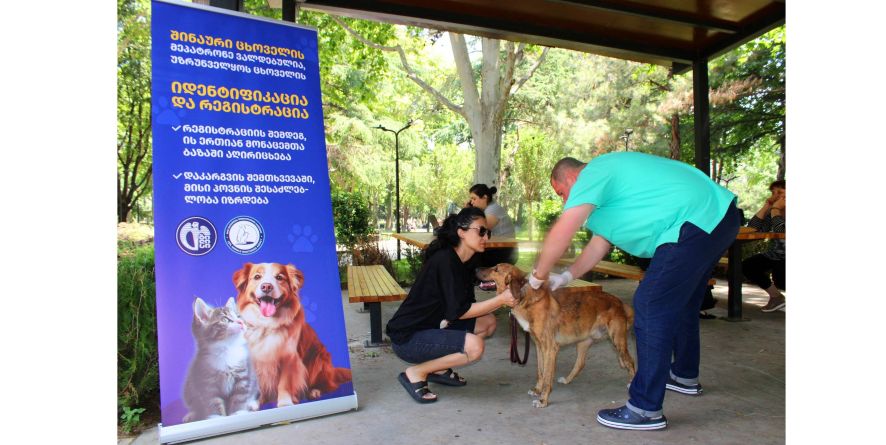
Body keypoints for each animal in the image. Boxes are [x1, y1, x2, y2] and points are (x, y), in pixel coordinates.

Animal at [236, 264, 354, 406]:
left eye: (279, 277)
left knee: (329, 385)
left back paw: (314, 391)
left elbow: (284, 383)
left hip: (319, 358)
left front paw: (285, 403)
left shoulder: (290, 357)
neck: (268, 324)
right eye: (257, 277)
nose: (266, 286)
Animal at [478, 264, 640, 406]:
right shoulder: (539, 346)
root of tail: (619, 302)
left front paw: (543, 400)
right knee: (580, 363)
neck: (526, 297)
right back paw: (567, 380)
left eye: (496, 269)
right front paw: (537, 390)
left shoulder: (550, 348)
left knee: (630, 362)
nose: (476, 269)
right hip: (583, 342)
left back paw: (631, 384)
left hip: (617, 341)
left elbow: (547, 377)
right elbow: (540, 372)